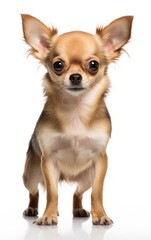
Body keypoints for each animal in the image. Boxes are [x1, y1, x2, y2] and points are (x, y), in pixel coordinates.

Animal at [21, 14, 133, 225]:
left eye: (93, 65)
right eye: (58, 65)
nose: (75, 76)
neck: (75, 111)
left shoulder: (100, 161)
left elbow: (97, 193)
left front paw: (100, 215)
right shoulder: (48, 161)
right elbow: (52, 193)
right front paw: (48, 216)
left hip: (86, 177)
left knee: (78, 193)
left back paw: (79, 210)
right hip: (30, 174)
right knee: (35, 192)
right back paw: (33, 209)